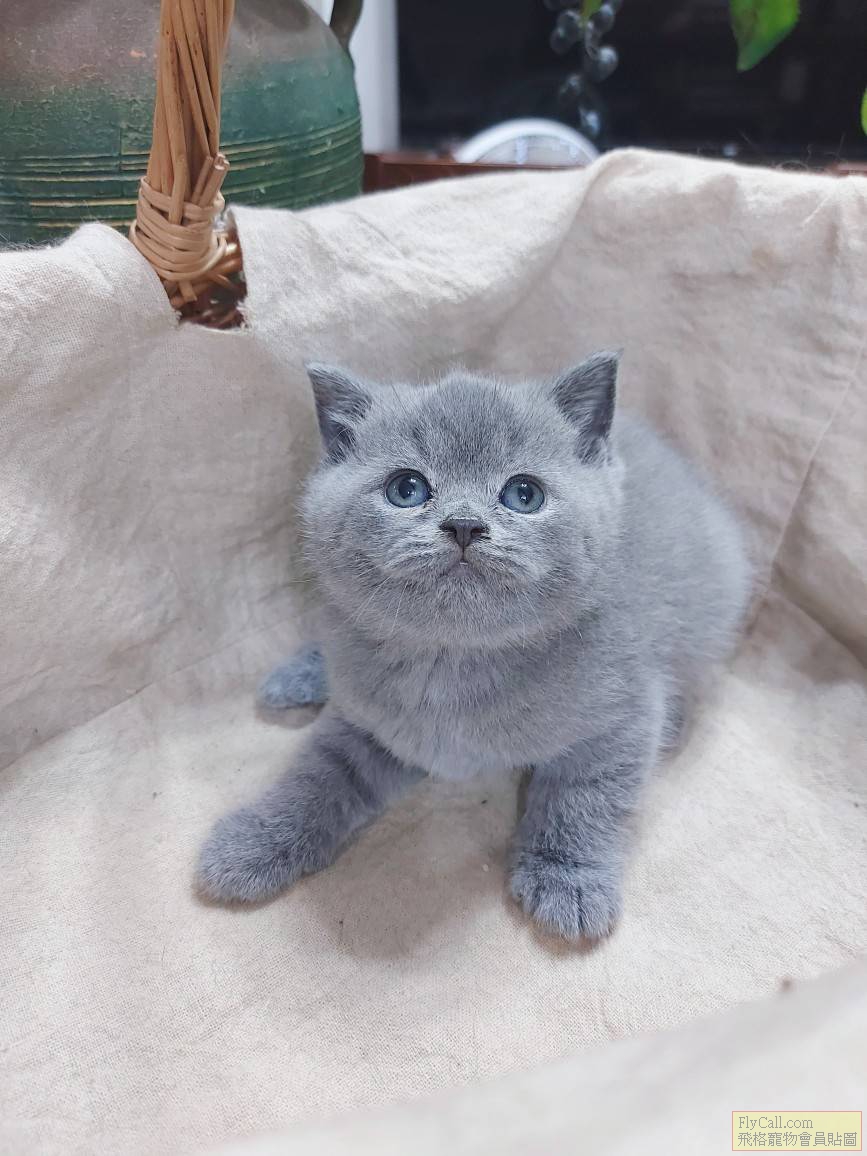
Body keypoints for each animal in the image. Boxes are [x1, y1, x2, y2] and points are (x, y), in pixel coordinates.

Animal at [198, 354, 751, 940]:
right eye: (407, 488)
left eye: (524, 494)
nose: (464, 524)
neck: (454, 661)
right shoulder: (368, 722)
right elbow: (315, 778)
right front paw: (253, 841)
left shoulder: (622, 715)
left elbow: (585, 797)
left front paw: (569, 881)